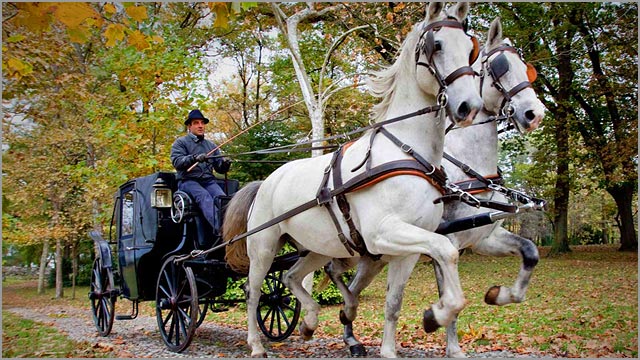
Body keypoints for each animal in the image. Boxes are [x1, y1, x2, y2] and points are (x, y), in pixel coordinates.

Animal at [222, 2, 482, 358]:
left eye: (471, 49)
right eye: (437, 45)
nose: (470, 106)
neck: (405, 154)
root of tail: (266, 183)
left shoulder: (409, 248)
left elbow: (394, 301)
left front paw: (391, 348)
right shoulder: (382, 233)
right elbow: (448, 251)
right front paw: (437, 314)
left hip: (317, 247)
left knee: (291, 277)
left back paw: (311, 321)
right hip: (262, 247)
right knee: (254, 289)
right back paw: (256, 344)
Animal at [324, 16, 544, 358]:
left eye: (526, 68)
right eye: (500, 67)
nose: (534, 113)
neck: (465, 168)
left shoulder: (482, 238)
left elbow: (530, 252)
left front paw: (500, 295)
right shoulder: (447, 242)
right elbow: (448, 298)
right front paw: (447, 338)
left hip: (374, 257)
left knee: (351, 284)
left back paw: (352, 335)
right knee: (332, 272)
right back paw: (347, 326)